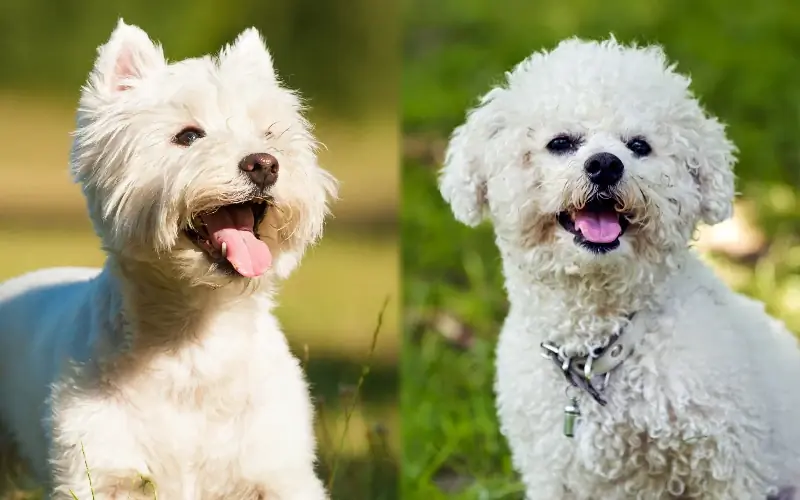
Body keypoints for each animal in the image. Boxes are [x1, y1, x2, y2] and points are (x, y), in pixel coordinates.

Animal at [0, 19, 336, 500]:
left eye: (270, 134)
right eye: (188, 136)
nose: (264, 164)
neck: (194, 344)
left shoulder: (277, 472)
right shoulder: (102, 470)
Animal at [440, 37, 800, 498]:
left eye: (639, 145)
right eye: (561, 142)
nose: (605, 164)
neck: (597, 348)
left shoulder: (729, 466)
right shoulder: (553, 473)